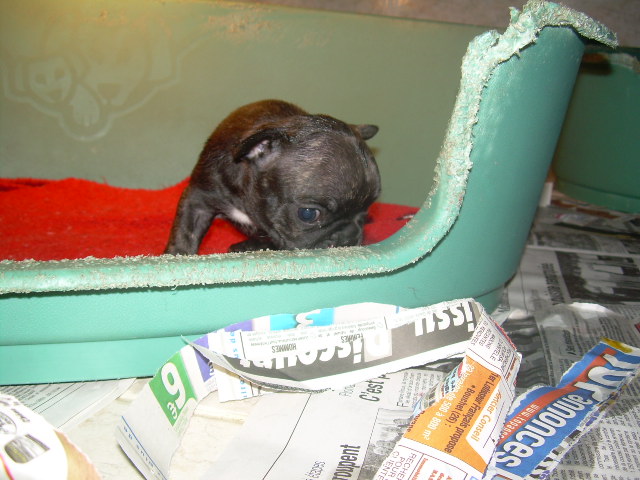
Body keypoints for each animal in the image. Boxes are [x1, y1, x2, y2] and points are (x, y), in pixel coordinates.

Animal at [165, 99, 381, 255]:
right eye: (308, 214)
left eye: (365, 213)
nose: (349, 237)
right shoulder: (199, 198)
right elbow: (186, 233)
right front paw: (177, 257)